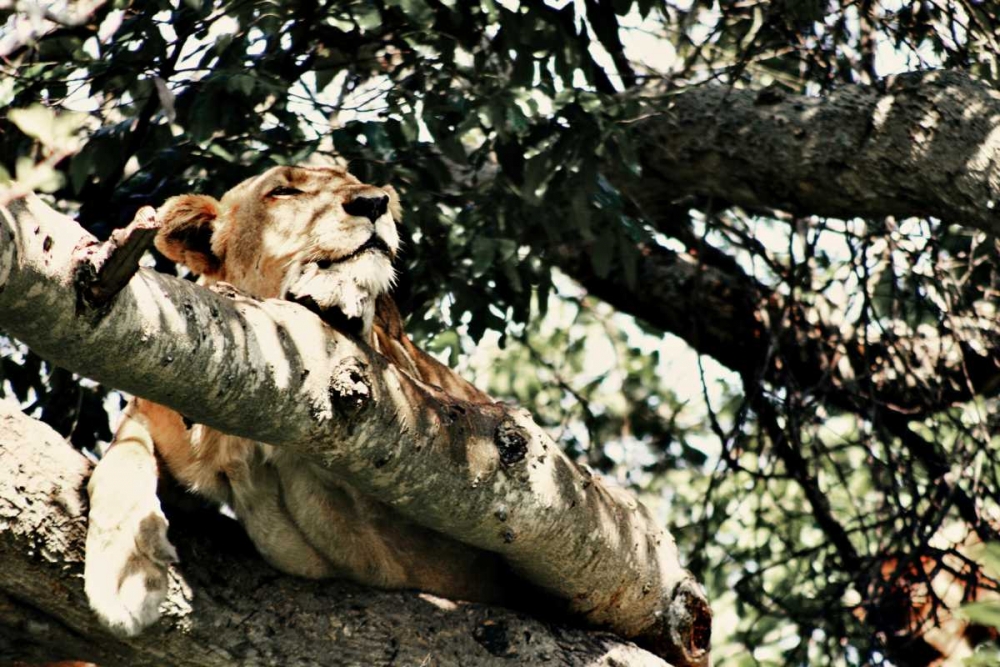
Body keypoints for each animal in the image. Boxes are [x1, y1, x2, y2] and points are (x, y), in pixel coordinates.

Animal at [84, 165, 508, 636]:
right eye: (284, 191)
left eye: (353, 180)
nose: (374, 202)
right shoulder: (154, 412)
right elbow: (121, 458)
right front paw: (126, 574)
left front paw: (339, 295)